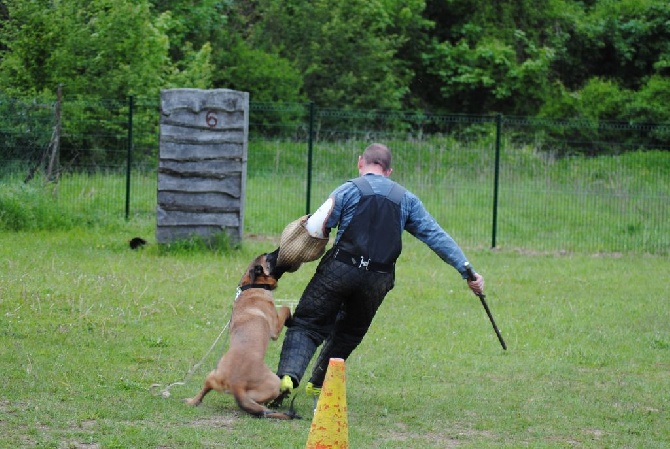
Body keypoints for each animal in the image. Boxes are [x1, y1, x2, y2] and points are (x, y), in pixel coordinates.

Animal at [188, 252, 296, 416]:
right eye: (269, 257)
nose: (280, 251)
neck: (253, 285)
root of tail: (236, 383)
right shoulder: (275, 328)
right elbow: (285, 308)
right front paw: (290, 319)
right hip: (273, 382)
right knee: (260, 400)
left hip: (212, 374)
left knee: (205, 388)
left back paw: (192, 401)